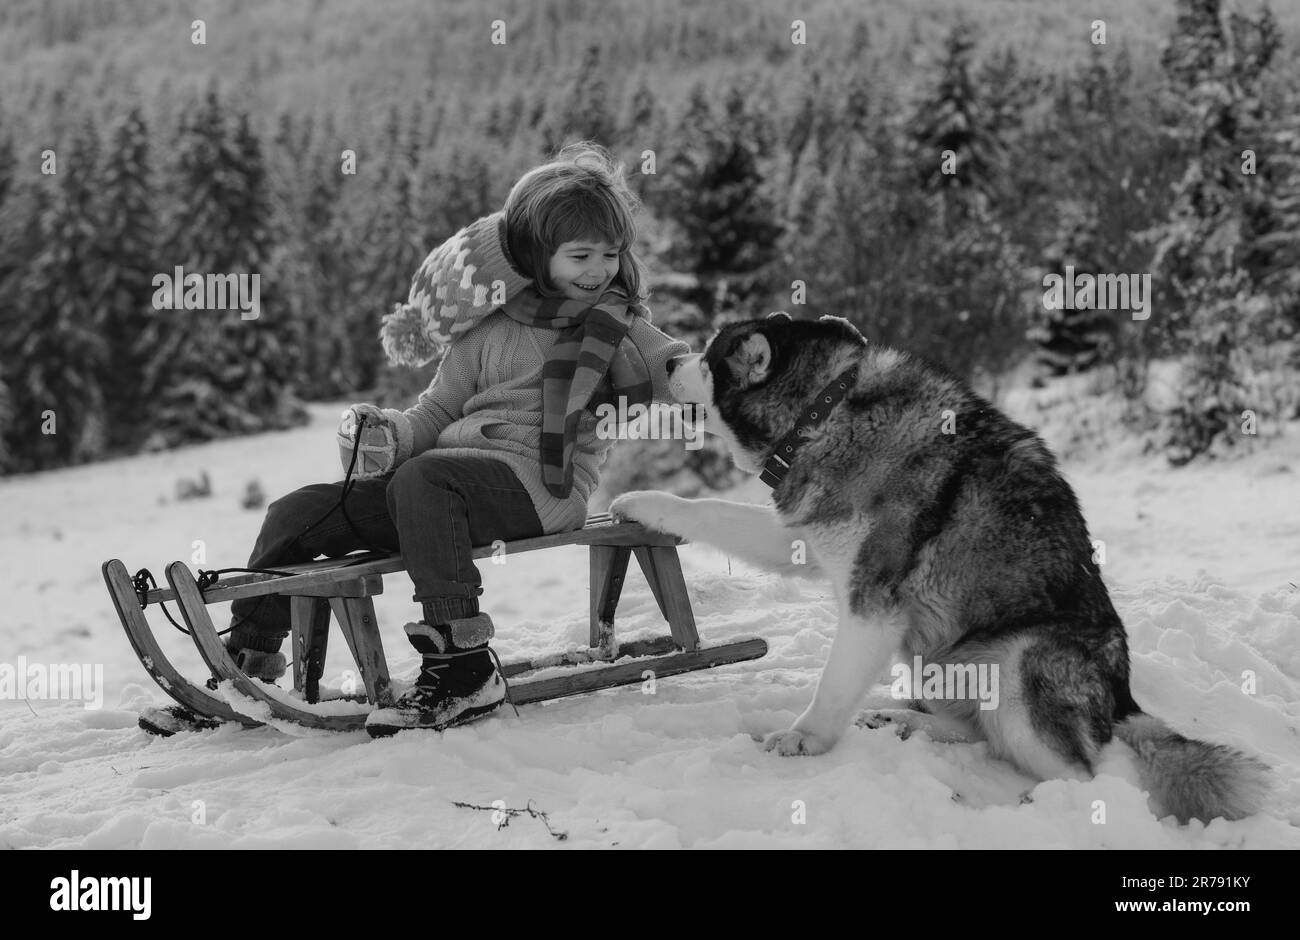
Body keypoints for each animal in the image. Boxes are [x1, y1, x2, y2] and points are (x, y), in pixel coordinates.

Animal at [608, 310, 1268, 821]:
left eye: (710, 358)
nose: (670, 361)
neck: (825, 414)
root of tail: (1123, 693)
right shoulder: (803, 539)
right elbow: (710, 510)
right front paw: (642, 503)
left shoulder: (872, 603)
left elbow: (832, 685)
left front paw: (805, 736)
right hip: (932, 654)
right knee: (976, 731)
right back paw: (900, 720)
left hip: (1017, 670)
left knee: (1087, 771)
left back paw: (1041, 804)